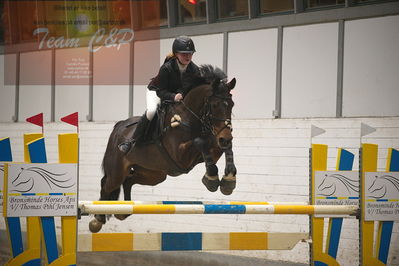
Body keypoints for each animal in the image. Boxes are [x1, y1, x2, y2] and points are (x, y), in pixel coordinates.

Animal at [90, 65, 238, 233]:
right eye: (214, 105)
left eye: (231, 104)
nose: (226, 137)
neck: (189, 117)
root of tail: (118, 126)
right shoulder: (180, 156)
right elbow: (199, 141)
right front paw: (212, 179)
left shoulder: (213, 145)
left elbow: (223, 148)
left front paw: (228, 179)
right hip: (117, 172)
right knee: (106, 186)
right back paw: (97, 220)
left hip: (154, 174)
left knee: (128, 181)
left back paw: (124, 212)